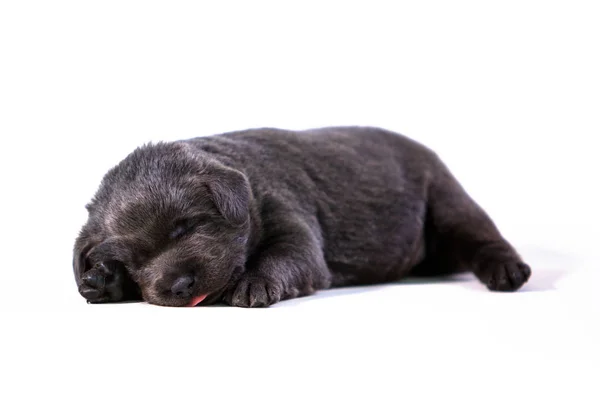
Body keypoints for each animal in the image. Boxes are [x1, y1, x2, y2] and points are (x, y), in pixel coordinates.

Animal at [74, 126, 528, 308]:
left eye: (186, 226)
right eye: (132, 260)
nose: (178, 286)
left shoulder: (292, 223)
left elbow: (283, 256)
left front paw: (253, 282)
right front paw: (104, 280)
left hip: (446, 199)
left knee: (483, 236)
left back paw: (507, 270)